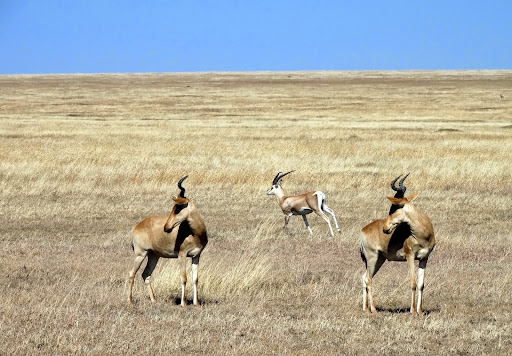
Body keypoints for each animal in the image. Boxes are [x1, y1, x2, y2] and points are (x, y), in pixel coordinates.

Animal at [128, 177, 208, 308]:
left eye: (178, 208)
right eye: (174, 208)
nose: (166, 228)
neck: (194, 233)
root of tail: (136, 227)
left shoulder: (196, 256)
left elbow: (195, 279)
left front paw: (196, 303)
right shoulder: (182, 255)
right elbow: (184, 278)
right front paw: (183, 303)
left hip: (153, 256)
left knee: (146, 274)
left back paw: (154, 300)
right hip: (140, 254)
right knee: (132, 273)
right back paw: (130, 301)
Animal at [360, 182, 436, 316]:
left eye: (394, 208)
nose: (385, 228)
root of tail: (363, 229)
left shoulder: (424, 258)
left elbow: (421, 284)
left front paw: (420, 311)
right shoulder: (410, 256)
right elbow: (413, 282)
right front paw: (413, 311)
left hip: (379, 259)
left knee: (364, 277)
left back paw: (366, 309)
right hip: (372, 257)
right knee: (368, 279)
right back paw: (374, 310)